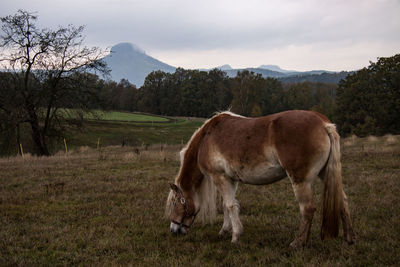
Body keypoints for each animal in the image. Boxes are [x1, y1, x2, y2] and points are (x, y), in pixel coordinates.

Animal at [166, 110, 356, 248]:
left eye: (176, 203)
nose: (173, 230)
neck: (207, 137)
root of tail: (324, 124)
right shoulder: (231, 179)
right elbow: (228, 205)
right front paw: (225, 231)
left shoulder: (219, 177)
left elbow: (229, 205)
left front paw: (235, 236)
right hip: (326, 174)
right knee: (343, 201)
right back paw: (349, 239)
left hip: (301, 181)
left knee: (308, 209)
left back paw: (298, 243)